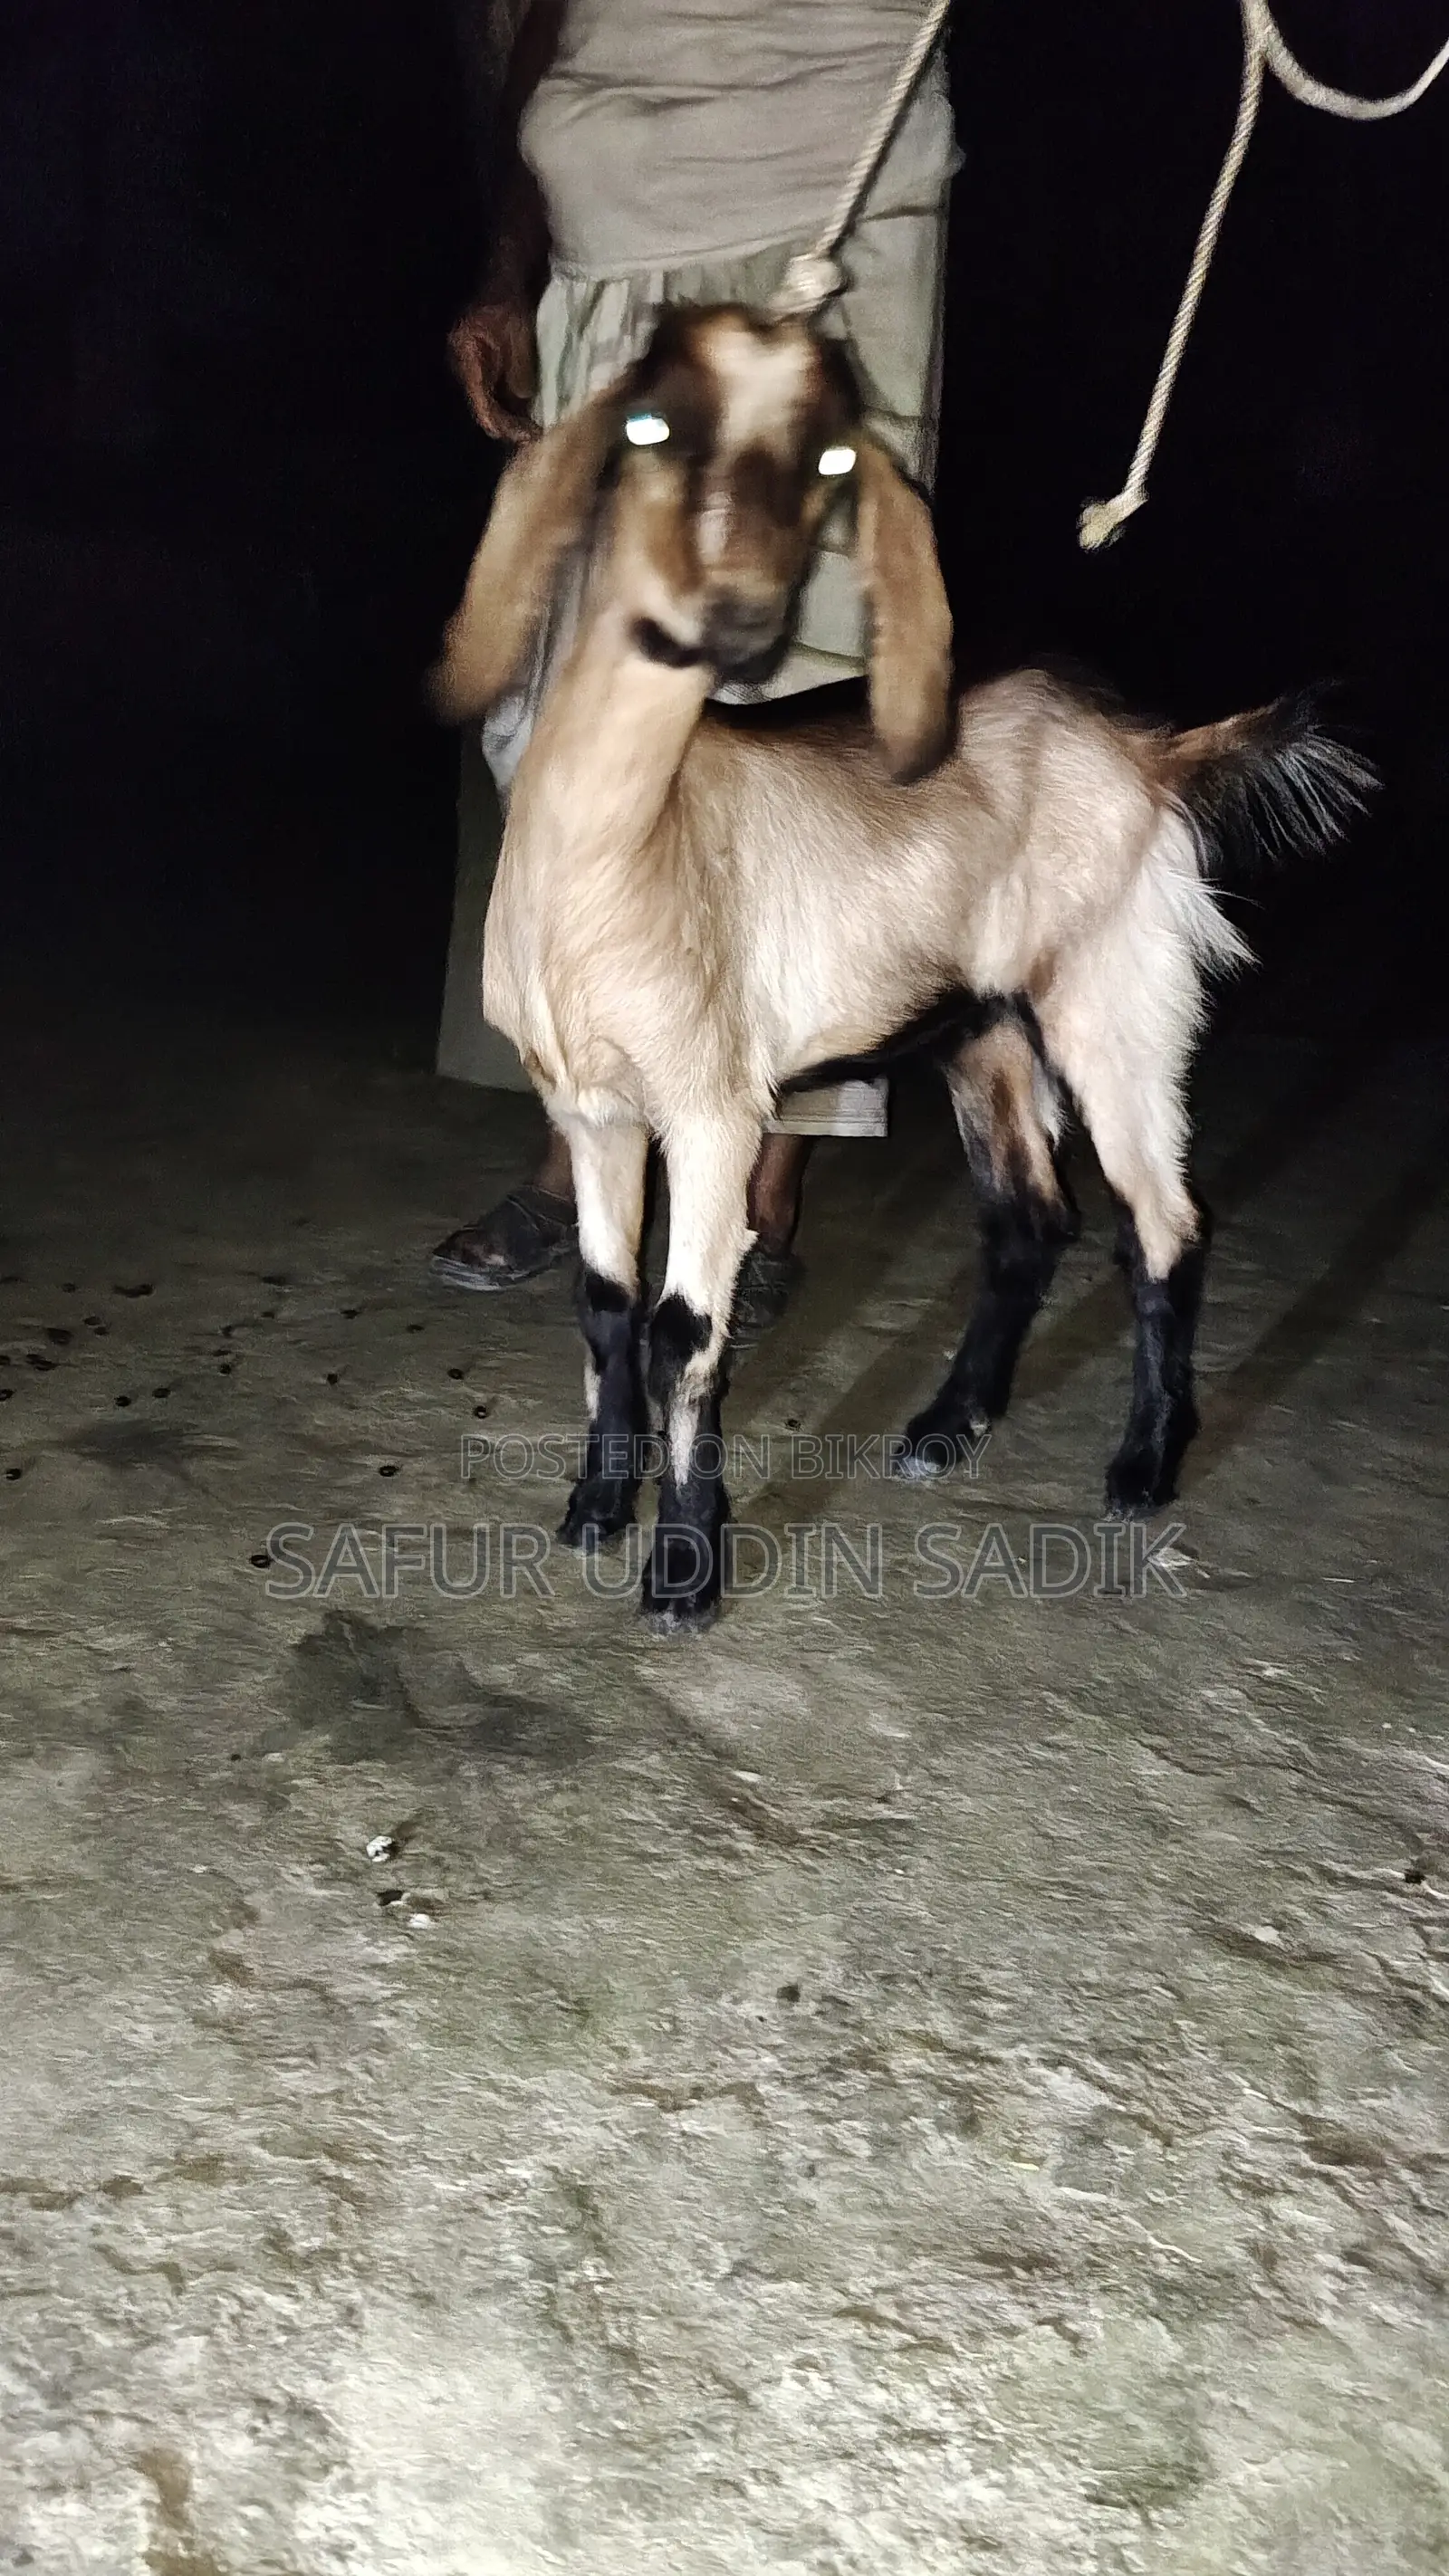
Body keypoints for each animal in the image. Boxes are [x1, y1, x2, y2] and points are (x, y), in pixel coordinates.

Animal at [432, 304, 1371, 1632]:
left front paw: (684, 1570)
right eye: (649, 422)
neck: (621, 853)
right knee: (1030, 1221)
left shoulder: (712, 1107)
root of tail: (1151, 751)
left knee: (1165, 1223)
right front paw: (594, 1511)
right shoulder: (591, 1106)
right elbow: (604, 1306)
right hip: (984, 1029)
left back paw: (1142, 1466)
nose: (732, 608)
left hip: (1114, 1001)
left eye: (829, 453)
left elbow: (682, 1329)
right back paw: (946, 1423)